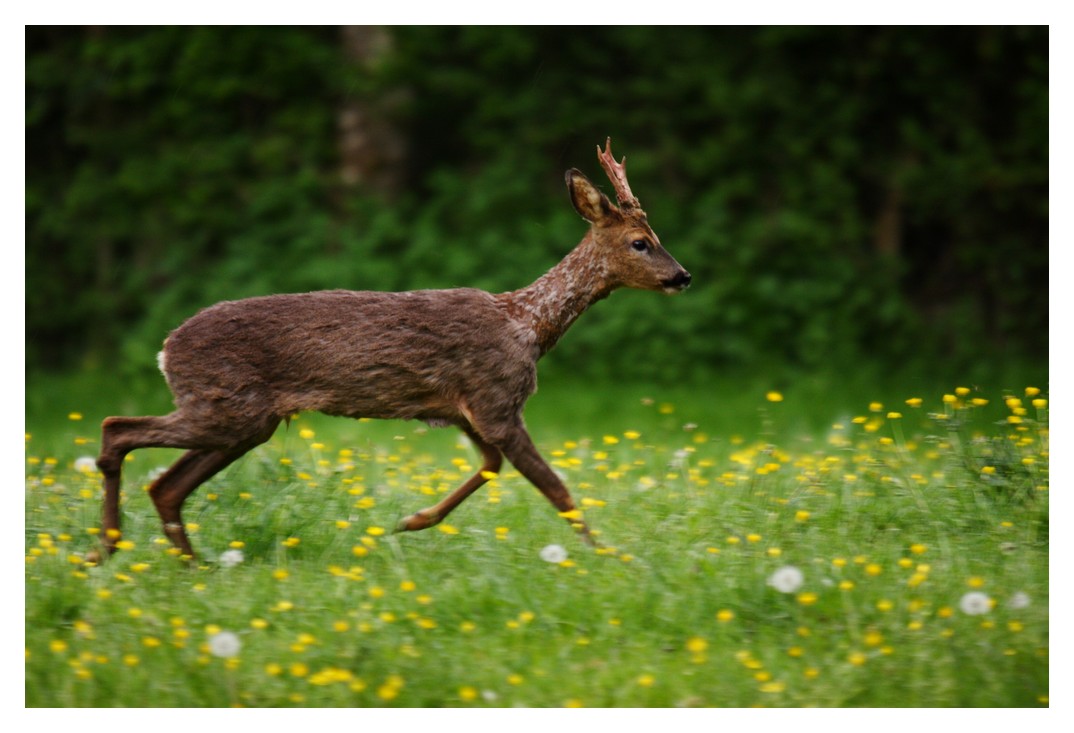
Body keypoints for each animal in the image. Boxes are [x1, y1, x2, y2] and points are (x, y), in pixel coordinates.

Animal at [92, 137, 691, 558]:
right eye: (641, 242)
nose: (683, 276)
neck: (528, 324)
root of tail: (166, 348)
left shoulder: (467, 411)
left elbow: (491, 467)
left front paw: (412, 521)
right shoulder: (496, 401)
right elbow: (557, 489)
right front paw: (610, 559)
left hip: (244, 421)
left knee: (166, 486)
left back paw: (184, 564)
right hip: (224, 407)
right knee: (117, 430)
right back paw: (109, 551)